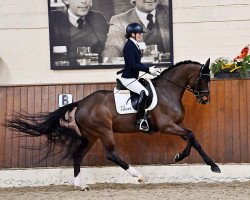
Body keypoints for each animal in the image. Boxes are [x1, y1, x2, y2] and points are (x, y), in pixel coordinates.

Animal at [4, 58, 221, 190]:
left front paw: (209, 165)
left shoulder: (174, 126)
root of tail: (81, 103)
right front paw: (185, 158)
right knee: (111, 154)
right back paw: (138, 176)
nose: (205, 99)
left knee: (78, 155)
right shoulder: (167, 126)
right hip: (104, 131)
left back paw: (80, 185)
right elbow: (192, 135)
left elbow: (193, 139)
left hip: (91, 136)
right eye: (204, 78)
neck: (168, 91)